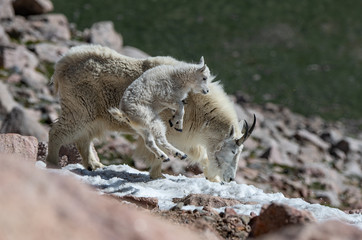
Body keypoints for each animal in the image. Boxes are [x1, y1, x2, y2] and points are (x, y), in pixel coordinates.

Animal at [46, 44, 256, 182]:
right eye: (234, 151)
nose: (230, 179)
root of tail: (59, 66)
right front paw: (158, 174)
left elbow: (201, 156)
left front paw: (212, 178)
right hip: (78, 108)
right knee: (57, 132)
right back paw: (53, 163)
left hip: (91, 115)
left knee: (84, 138)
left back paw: (94, 165)